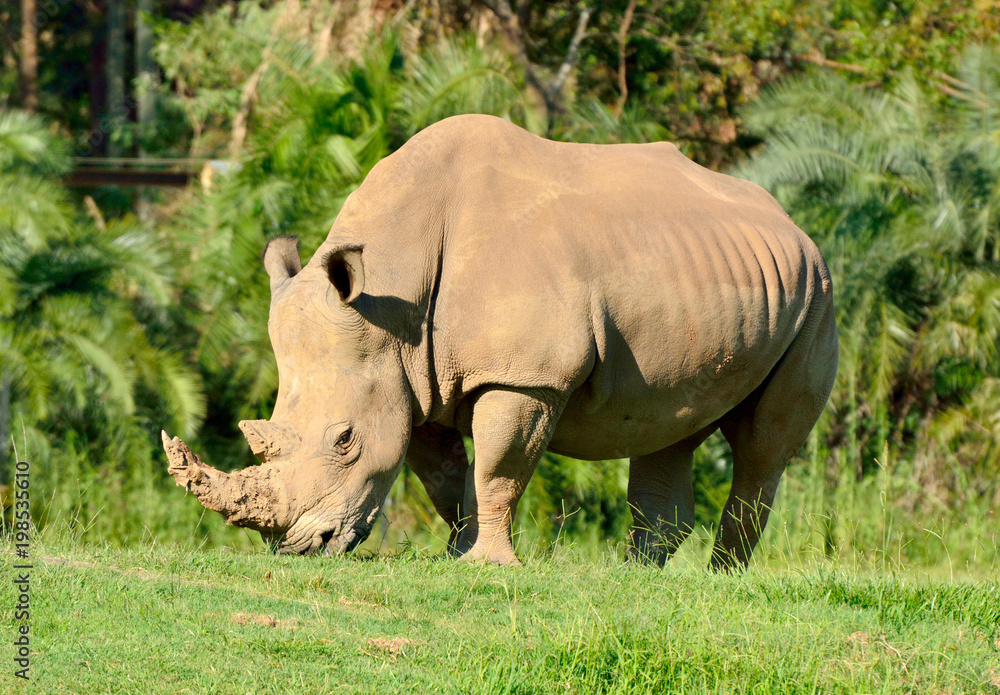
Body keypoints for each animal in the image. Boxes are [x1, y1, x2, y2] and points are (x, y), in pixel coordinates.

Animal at [162, 114, 838, 569]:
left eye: (345, 440)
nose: (298, 546)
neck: (394, 285)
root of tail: (790, 223)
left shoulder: (526, 376)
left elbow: (497, 468)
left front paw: (487, 566)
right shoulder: (411, 376)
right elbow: (443, 478)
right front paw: (457, 554)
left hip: (817, 292)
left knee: (764, 446)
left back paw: (723, 578)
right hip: (709, 281)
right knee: (671, 424)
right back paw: (640, 576)